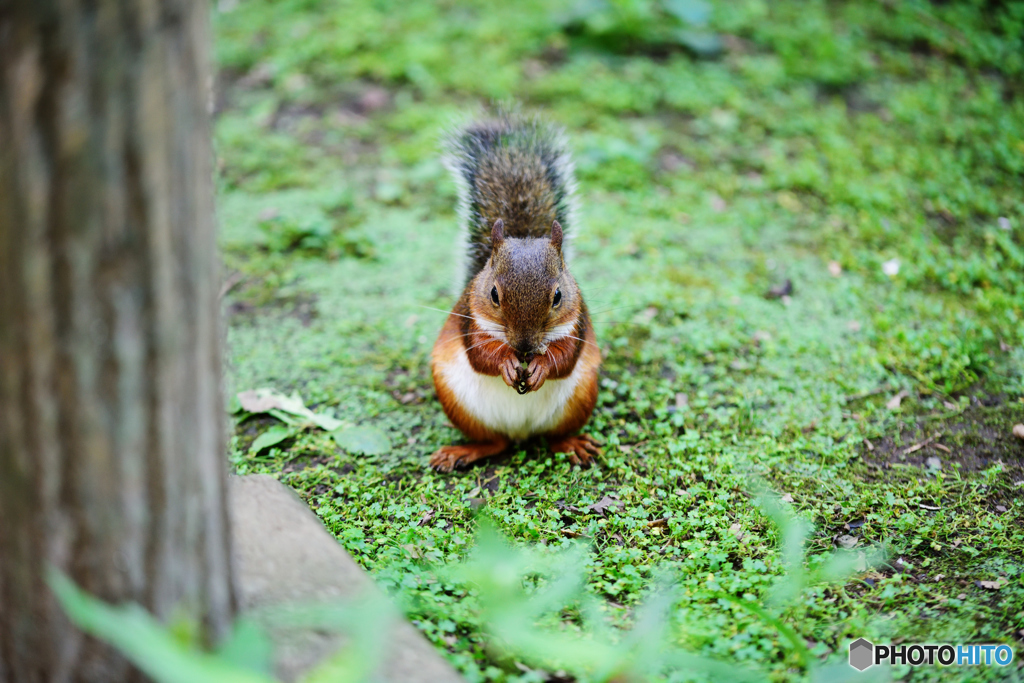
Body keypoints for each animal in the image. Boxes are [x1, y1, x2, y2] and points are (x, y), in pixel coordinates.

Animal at [430, 113, 602, 475]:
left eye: (558, 295)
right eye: (493, 293)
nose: (523, 346)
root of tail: (521, 432)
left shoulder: (577, 320)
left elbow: (566, 356)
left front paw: (542, 367)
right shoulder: (470, 317)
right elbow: (481, 353)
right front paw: (507, 364)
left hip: (581, 398)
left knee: (552, 439)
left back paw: (572, 444)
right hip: (459, 404)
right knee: (494, 443)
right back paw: (462, 451)